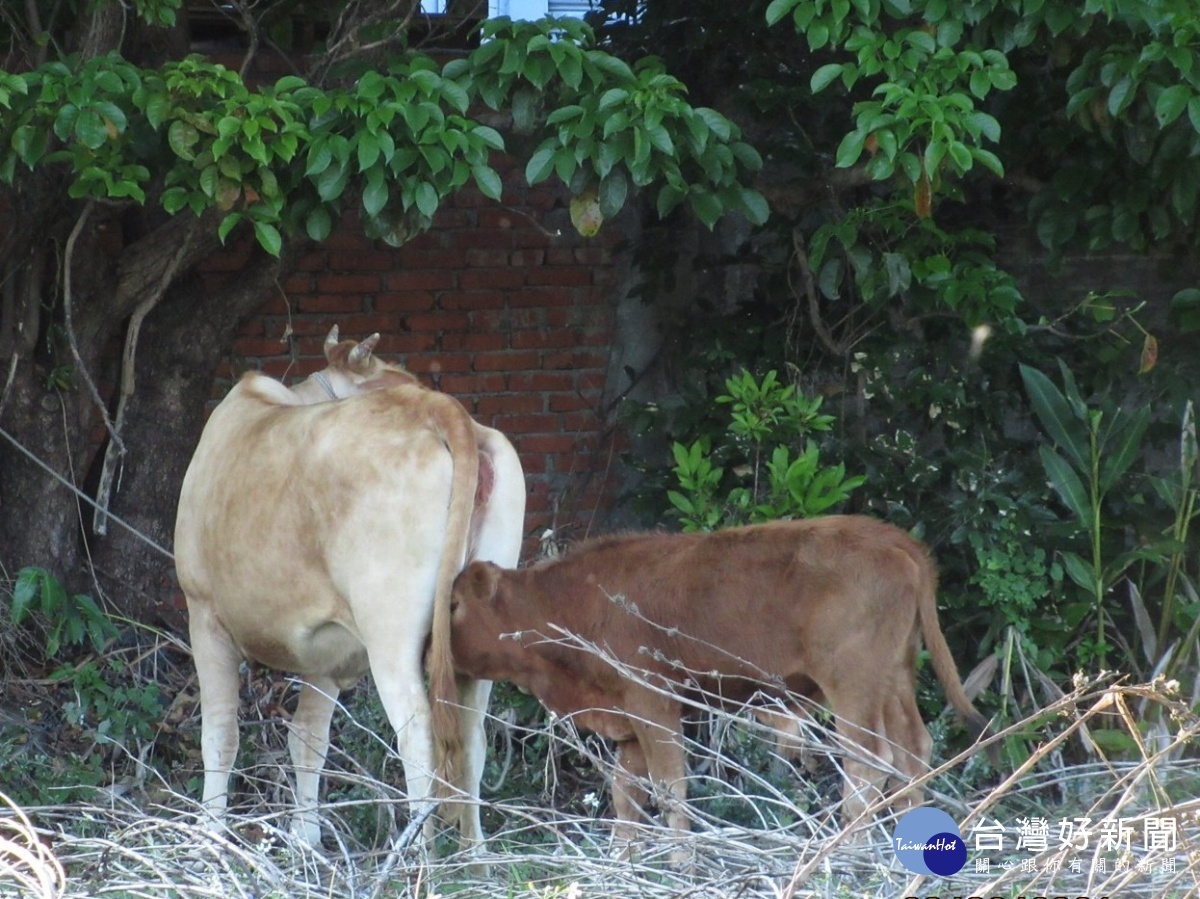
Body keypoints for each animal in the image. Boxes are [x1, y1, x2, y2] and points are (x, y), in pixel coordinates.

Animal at [175, 328, 525, 854]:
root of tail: (437, 408)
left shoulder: (204, 613)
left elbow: (220, 734)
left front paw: (210, 837)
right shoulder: (326, 642)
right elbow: (308, 738)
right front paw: (305, 839)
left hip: (390, 631)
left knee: (418, 731)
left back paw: (419, 858)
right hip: (477, 636)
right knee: (471, 735)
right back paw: (473, 858)